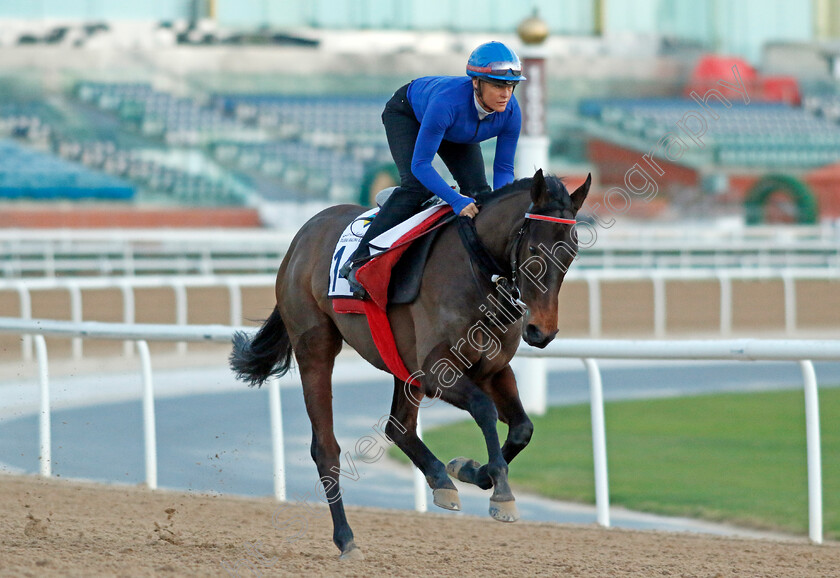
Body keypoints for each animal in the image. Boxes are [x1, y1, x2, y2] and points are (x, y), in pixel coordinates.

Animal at [226, 168, 588, 560]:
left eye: (571, 253)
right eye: (535, 250)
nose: (540, 331)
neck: (477, 271)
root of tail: (303, 234)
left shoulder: (491, 369)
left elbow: (522, 427)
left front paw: (469, 469)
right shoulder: (436, 370)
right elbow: (483, 409)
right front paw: (501, 494)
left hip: (401, 363)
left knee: (398, 427)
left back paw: (440, 478)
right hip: (315, 346)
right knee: (325, 447)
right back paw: (346, 538)